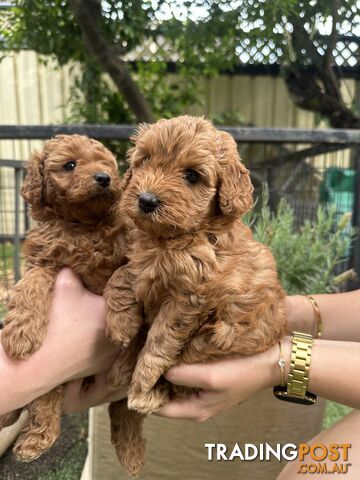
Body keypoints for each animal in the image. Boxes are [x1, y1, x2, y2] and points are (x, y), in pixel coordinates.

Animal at [0, 134, 129, 462]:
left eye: (106, 164)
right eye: (70, 165)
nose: (104, 178)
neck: (81, 225)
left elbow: (122, 278)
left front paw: (120, 323)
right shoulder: (42, 259)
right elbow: (30, 285)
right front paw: (20, 333)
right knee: (47, 391)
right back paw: (29, 434)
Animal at [105, 114, 288, 474]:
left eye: (192, 175)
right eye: (144, 160)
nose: (146, 200)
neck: (172, 239)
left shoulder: (189, 298)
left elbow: (159, 340)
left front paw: (142, 385)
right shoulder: (141, 260)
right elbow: (123, 275)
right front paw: (121, 322)